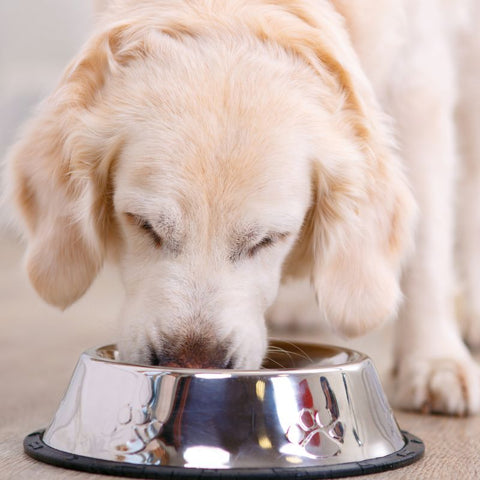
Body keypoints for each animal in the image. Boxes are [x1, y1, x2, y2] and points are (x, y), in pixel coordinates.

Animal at [6, 0, 480, 416]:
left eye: (269, 239)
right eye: (144, 225)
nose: (193, 364)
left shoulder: (418, 83)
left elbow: (427, 250)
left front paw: (433, 361)